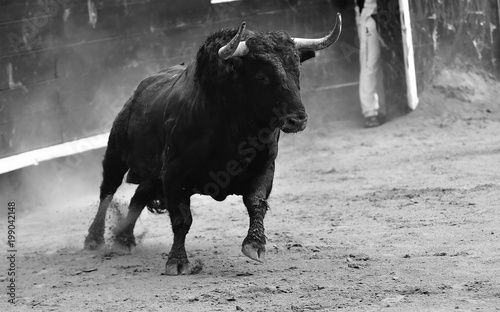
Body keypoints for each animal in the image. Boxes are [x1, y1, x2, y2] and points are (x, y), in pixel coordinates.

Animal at [86, 14, 342, 274]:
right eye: (261, 76)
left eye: (297, 71)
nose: (297, 119)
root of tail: (138, 92)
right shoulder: (174, 173)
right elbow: (182, 219)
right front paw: (177, 261)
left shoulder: (265, 167)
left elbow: (256, 203)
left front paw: (255, 245)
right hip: (115, 154)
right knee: (107, 191)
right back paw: (94, 239)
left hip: (152, 175)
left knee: (138, 196)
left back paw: (124, 239)